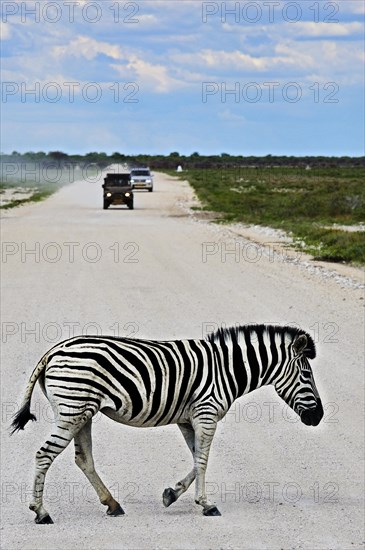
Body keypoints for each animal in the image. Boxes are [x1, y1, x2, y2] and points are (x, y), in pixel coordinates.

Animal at [10, 326, 322, 524]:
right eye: (306, 375)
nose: (318, 417)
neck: (227, 370)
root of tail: (54, 350)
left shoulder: (188, 420)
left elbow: (196, 460)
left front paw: (172, 494)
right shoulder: (206, 414)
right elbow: (203, 460)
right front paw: (206, 505)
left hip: (82, 413)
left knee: (83, 459)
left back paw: (113, 505)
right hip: (72, 411)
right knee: (44, 454)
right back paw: (41, 513)